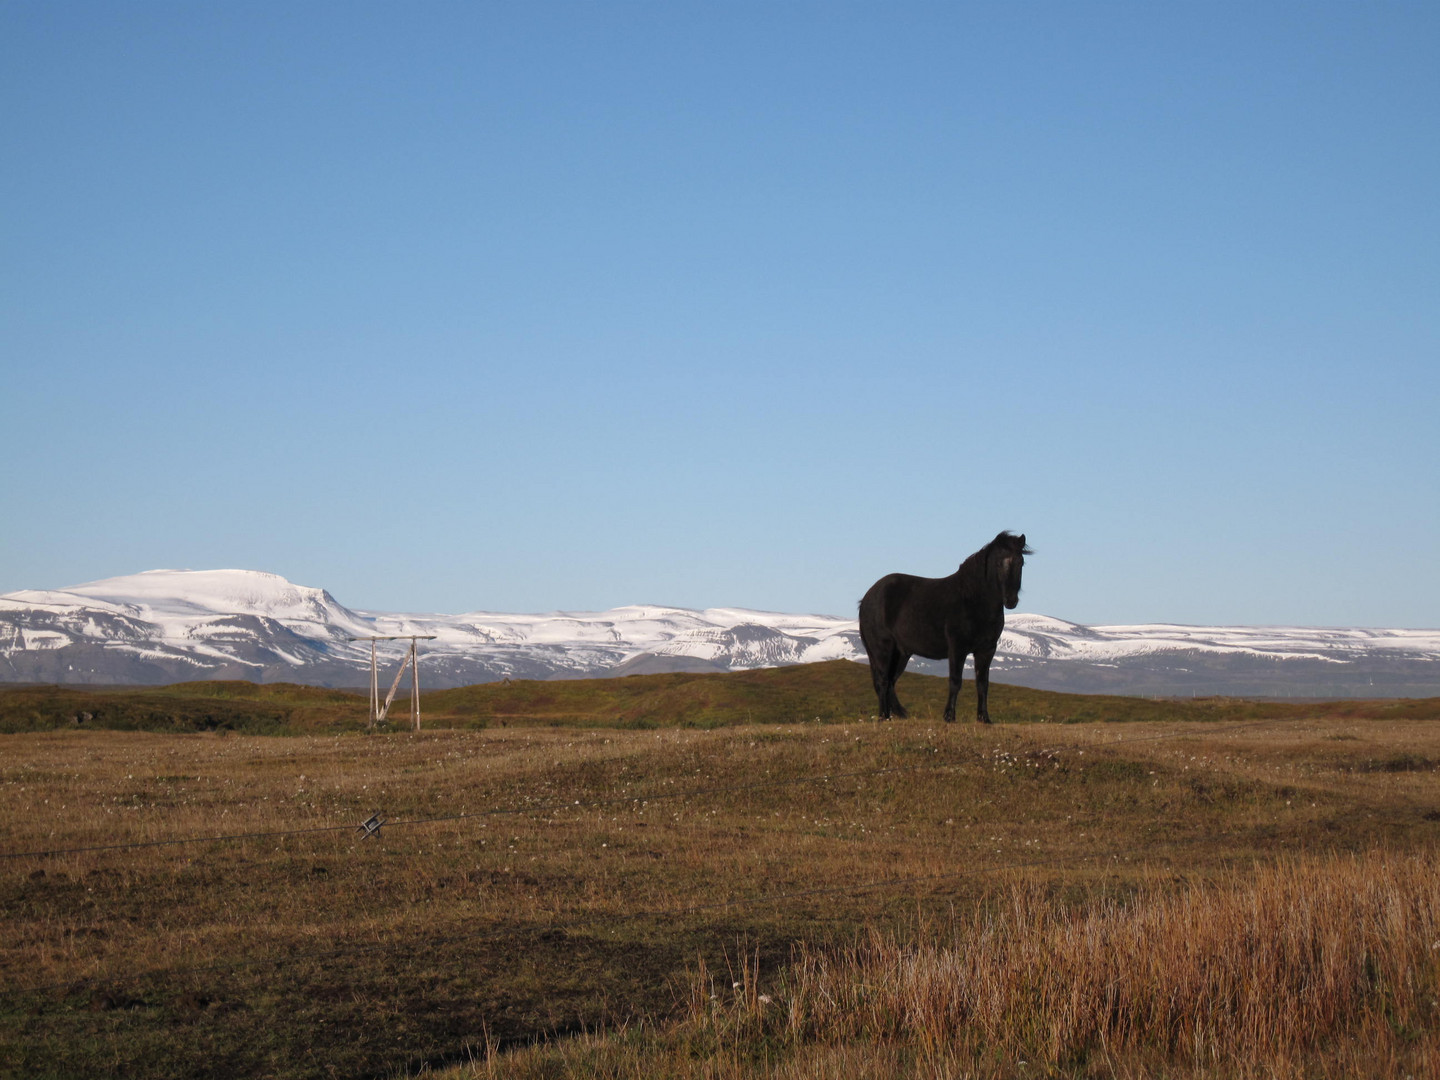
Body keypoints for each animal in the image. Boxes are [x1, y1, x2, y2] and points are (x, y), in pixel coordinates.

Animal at [858, 535, 1031, 728]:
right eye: (999, 564)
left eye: (1021, 562)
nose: (1011, 600)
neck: (973, 599)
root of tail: (867, 598)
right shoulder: (957, 648)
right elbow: (955, 681)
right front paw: (949, 717)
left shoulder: (986, 650)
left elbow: (982, 684)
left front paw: (984, 718)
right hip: (882, 649)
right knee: (882, 681)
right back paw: (883, 717)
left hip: (901, 654)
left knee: (890, 682)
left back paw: (892, 715)